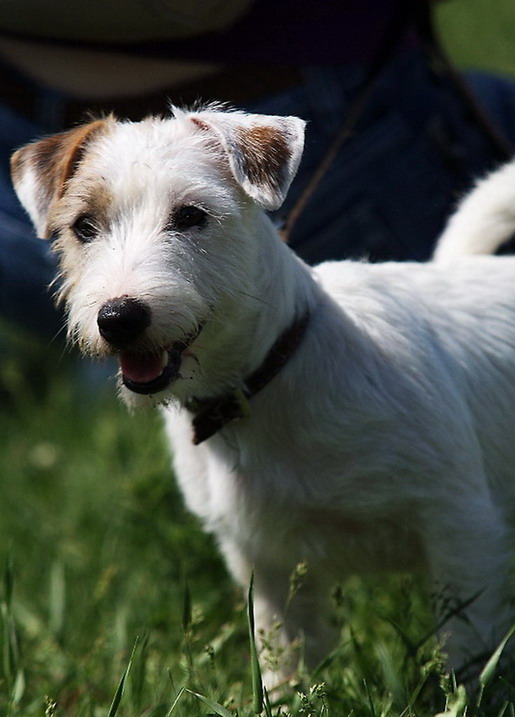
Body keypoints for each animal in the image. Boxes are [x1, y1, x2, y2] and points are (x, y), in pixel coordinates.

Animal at [10, 105, 515, 686]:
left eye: (191, 216)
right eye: (83, 227)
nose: (118, 318)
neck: (264, 380)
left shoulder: (462, 530)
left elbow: (467, 656)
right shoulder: (268, 568)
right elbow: (285, 664)